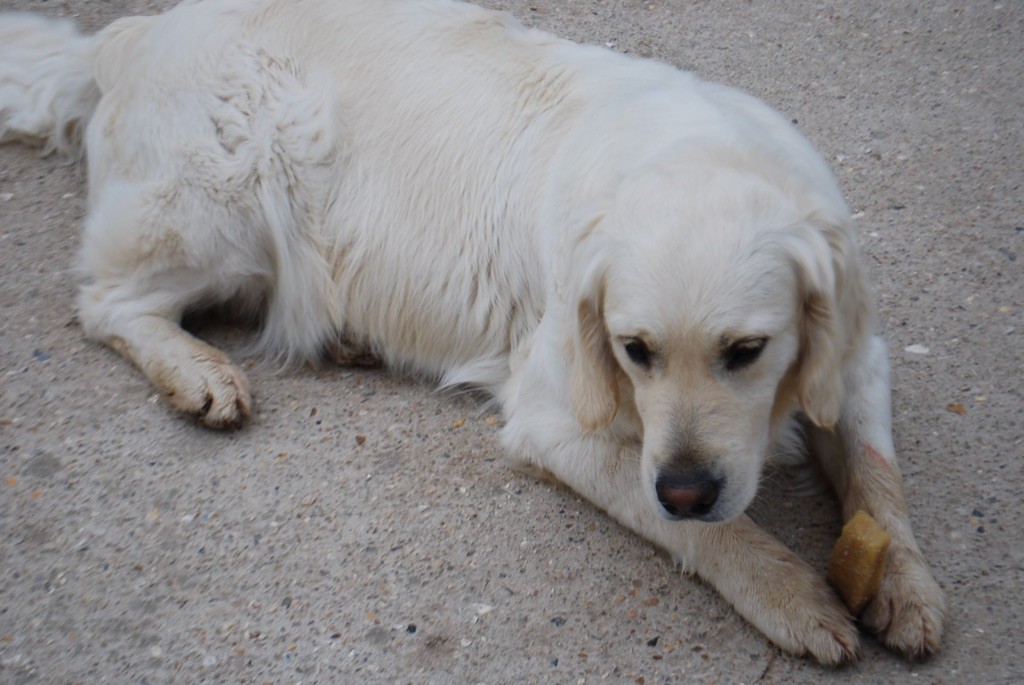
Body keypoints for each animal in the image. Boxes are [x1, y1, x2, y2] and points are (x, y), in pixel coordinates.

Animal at [0, 0, 942, 663]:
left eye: (747, 352)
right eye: (634, 351)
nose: (686, 483)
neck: (696, 149)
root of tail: (129, 33)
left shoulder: (858, 355)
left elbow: (877, 473)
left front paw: (906, 583)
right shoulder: (555, 414)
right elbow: (704, 529)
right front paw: (790, 594)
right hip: (217, 207)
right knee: (109, 303)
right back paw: (198, 373)